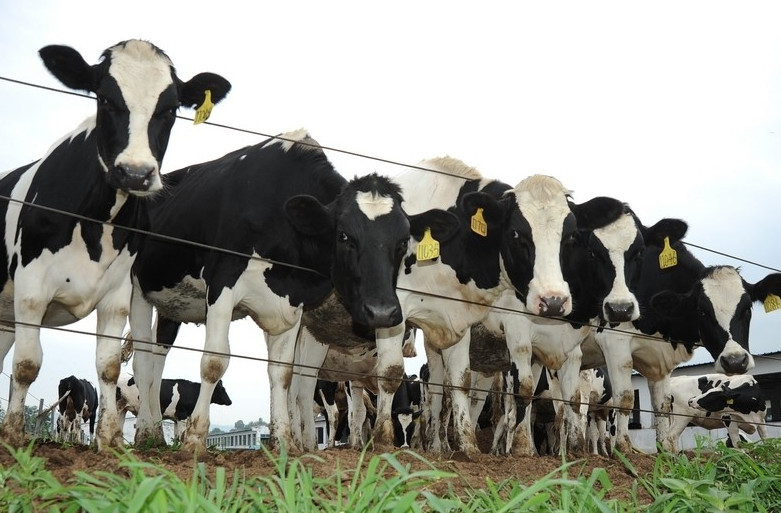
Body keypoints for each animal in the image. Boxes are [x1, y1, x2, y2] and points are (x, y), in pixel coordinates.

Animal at [0, 40, 232, 448]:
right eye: (105, 98)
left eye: (170, 108)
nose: (136, 174)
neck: (96, 222)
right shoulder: (31, 287)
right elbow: (27, 364)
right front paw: (12, 435)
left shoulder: (118, 292)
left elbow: (108, 365)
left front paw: (108, 440)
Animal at [127, 127, 458, 448]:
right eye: (344, 236)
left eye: (402, 241)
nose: (382, 312)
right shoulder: (222, 282)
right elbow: (214, 361)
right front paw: (194, 440)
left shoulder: (291, 302)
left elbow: (283, 372)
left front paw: (285, 441)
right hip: (137, 288)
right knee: (143, 357)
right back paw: (146, 433)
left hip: (171, 305)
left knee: (158, 354)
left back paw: (155, 432)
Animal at [584, 228, 780, 452]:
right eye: (702, 310)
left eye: (747, 308)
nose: (735, 361)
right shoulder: (615, 340)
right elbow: (625, 398)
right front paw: (623, 451)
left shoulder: (658, 361)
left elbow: (661, 407)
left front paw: (665, 453)